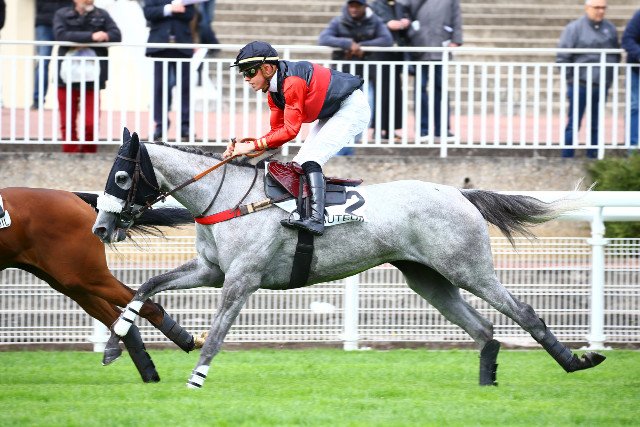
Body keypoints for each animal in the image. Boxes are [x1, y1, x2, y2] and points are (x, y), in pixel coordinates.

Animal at [0, 186, 203, 382]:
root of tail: (73, 197)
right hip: (69, 280)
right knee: (119, 316)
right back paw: (147, 370)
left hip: (83, 276)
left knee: (145, 304)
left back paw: (185, 342)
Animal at [92, 129, 605, 389]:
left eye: (121, 177)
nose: (100, 228)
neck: (227, 198)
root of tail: (460, 193)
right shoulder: (210, 271)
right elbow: (145, 287)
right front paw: (116, 345)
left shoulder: (242, 279)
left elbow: (218, 330)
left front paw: (197, 378)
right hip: (428, 278)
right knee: (484, 329)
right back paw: (487, 380)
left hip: (468, 268)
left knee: (524, 312)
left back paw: (576, 361)